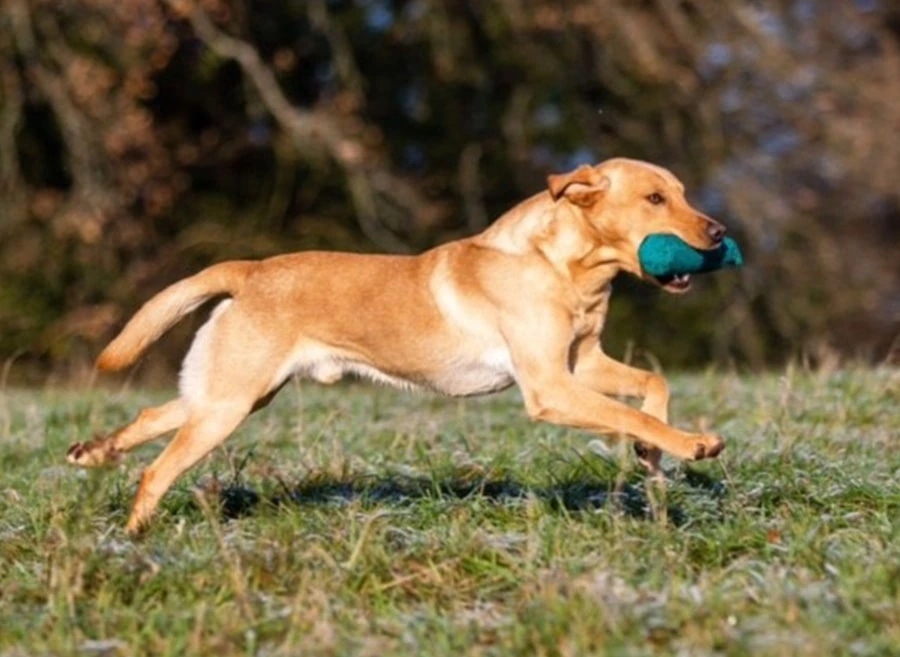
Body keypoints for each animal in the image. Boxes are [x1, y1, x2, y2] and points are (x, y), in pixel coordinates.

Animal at [70, 159, 732, 532]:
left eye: (681, 192)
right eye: (655, 199)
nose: (720, 231)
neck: (567, 265)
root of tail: (249, 270)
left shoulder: (583, 363)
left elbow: (652, 388)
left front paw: (654, 455)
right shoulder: (549, 386)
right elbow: (630, 412)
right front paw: (691, 443)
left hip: (232, 395)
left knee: (153, 415)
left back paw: (92, 453)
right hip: (228, 406)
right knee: (157, 469)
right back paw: (133, 542)